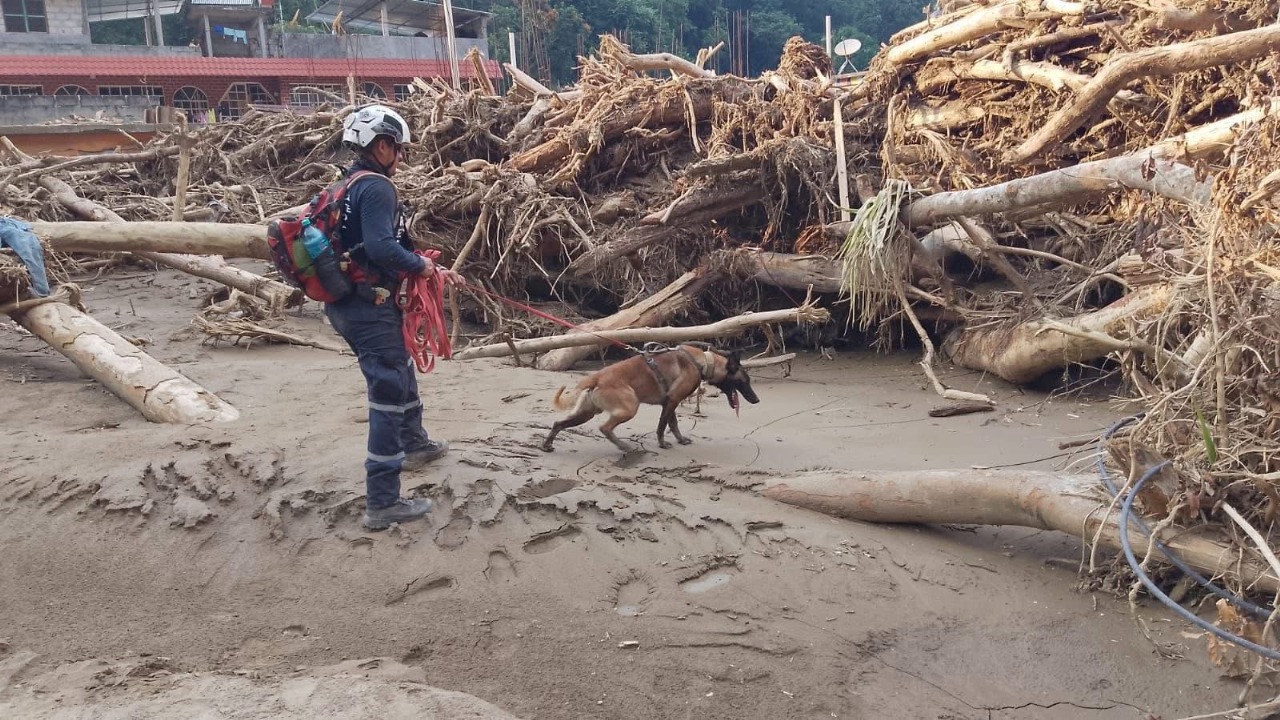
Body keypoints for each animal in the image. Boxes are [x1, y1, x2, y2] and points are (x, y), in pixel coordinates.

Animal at [541, 344, 760, 453]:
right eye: (744, 381)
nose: (757, 400)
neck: (703, 362)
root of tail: (596, 377)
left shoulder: (670, 402)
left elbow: (673, 424)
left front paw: (680, 440)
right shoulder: (672, 401)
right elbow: (662, 426)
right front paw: (662, 444)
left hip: (585, 413)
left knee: (558, 423)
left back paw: (547, 444)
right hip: (630, 407)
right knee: (605, 428)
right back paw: (624, 447)